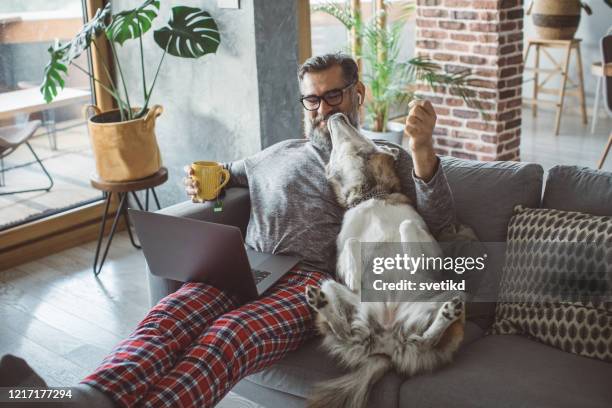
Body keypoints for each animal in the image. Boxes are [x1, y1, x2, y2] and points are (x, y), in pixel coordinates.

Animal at [304, 113, 466, 408]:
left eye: (357, 129)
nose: (336, 115)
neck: (371, 196)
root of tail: (386, 347)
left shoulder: (435, 253)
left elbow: (405, 226)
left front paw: (411, 260)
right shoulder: (340, 254)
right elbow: (352, 245)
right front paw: (354, 275)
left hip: (452, 294)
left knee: (426, 339)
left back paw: (447, 314)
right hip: (330, 285)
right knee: (344, 329)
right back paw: (321, 303)